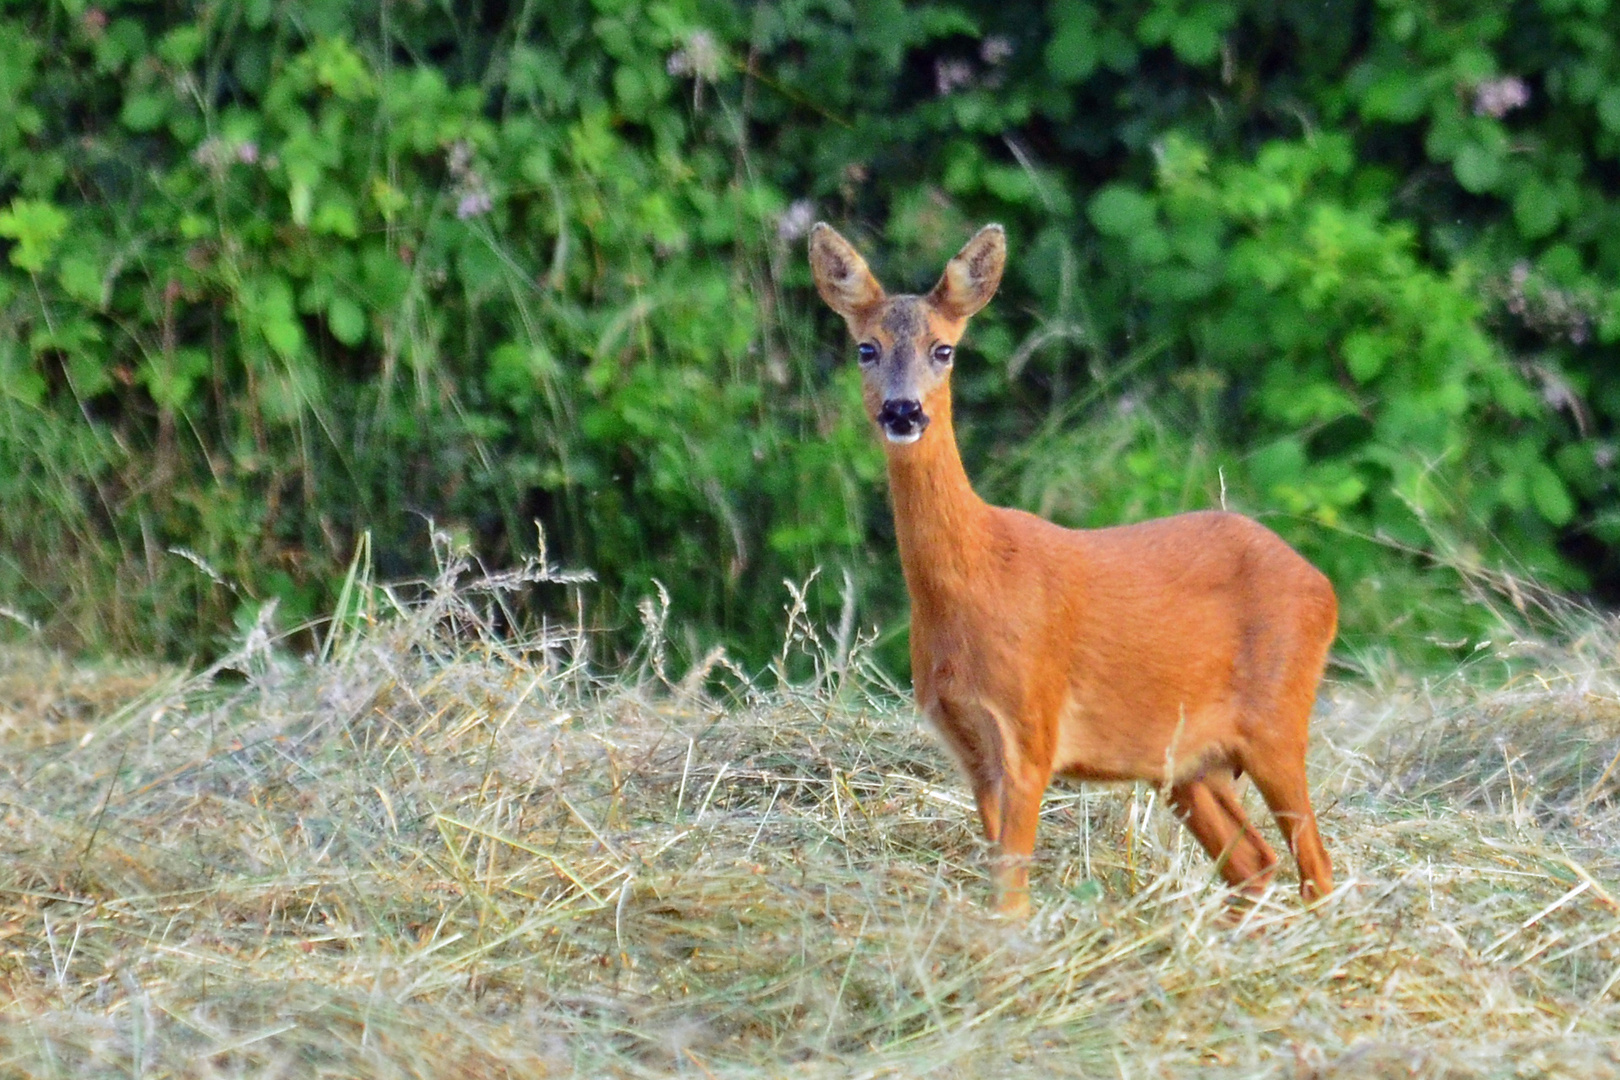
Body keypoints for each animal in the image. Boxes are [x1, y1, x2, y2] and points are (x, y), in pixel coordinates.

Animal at [803, 223, 1334, 919]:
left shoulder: (1032, 727)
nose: (903, 411)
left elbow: (1012, 893)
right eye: (866, 348)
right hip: (1187, 764)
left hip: (1277, 719)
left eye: (943, 349)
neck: (974, 580)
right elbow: (1000, 881)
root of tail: (1323, 587)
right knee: (1255, 864)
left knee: (1317, 867)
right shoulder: (969, 748)